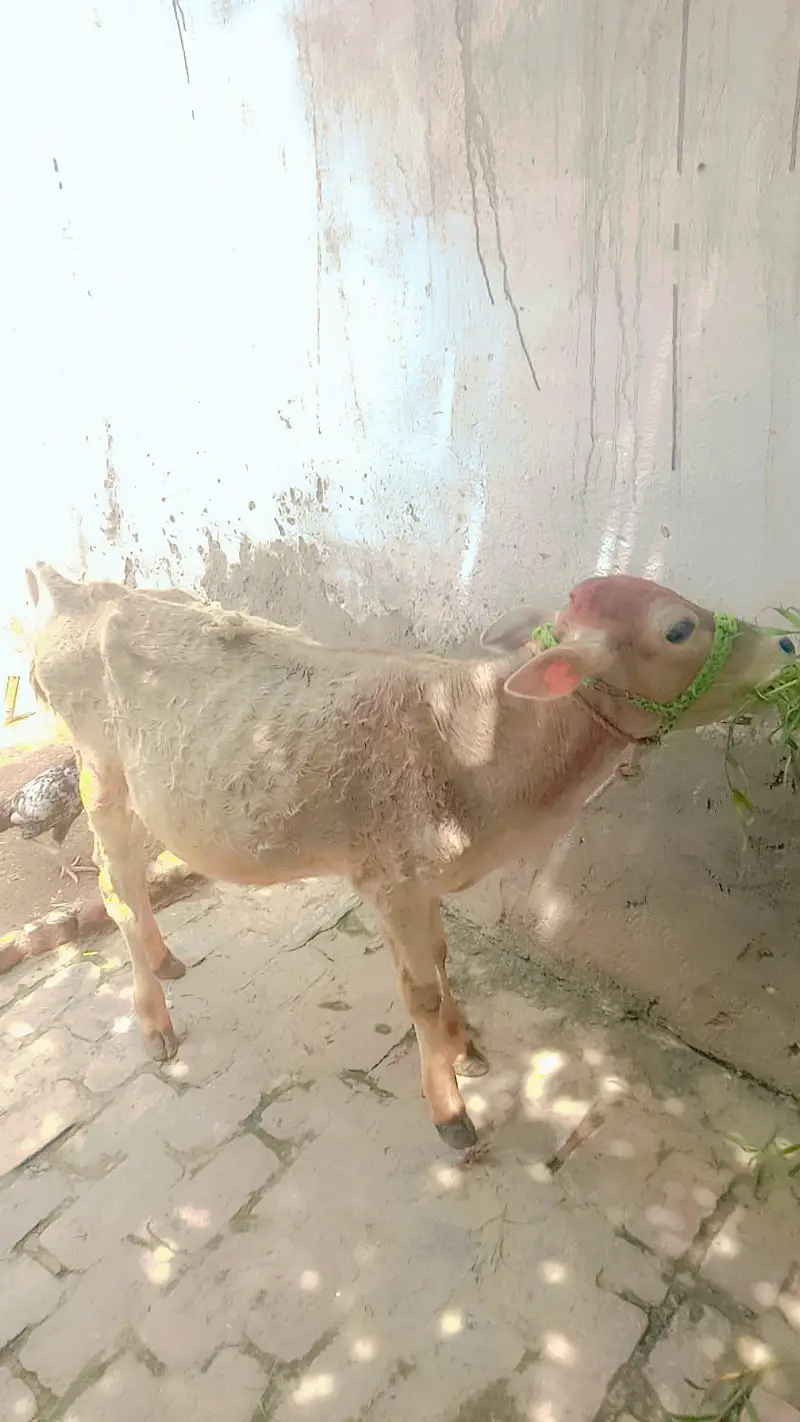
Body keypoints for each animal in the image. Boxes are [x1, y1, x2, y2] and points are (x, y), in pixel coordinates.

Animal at [24, 563, 792, 1150]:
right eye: (678, 628)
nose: (788, 642)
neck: (482, 739)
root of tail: (72, 588)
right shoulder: (388, 880)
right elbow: (418, 991)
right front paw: (450, 1108)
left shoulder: (422, 887)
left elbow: (444, 962)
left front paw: (467, 1046)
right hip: (100, 771)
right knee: (116, 884)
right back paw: (154, 1018)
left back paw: (164, 961)